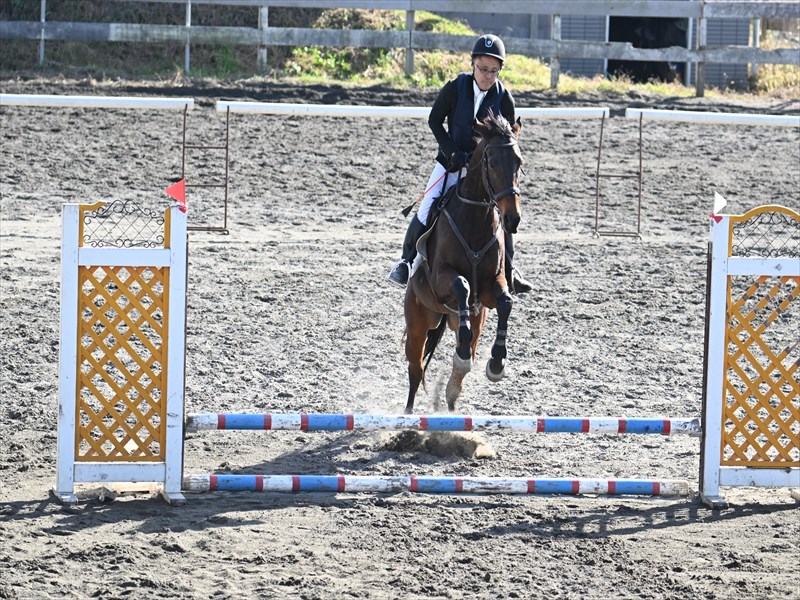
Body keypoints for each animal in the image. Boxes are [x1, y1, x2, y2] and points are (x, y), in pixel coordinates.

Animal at [403, 113, 523, 414]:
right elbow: (461, 285)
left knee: (466, 345)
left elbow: (505, 302)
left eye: (519, 162)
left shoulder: (492, 286)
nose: (512, 219)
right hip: (418, 321)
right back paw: (407, 413)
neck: (475, 219)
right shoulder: (441, 280)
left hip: (469, 318)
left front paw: (497, 363)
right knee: (416, 368)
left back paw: (453, 389)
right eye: (491, 163)